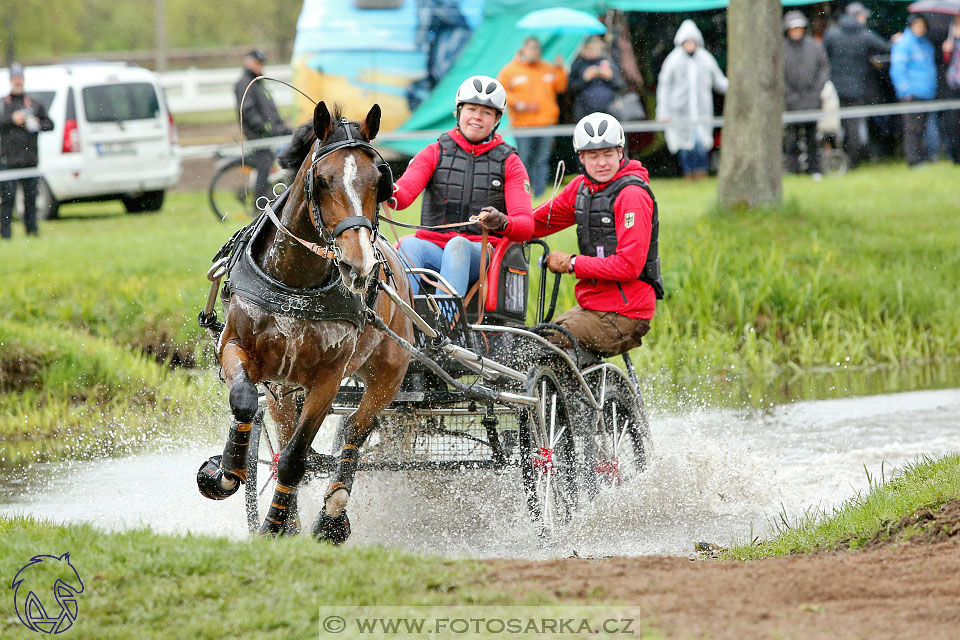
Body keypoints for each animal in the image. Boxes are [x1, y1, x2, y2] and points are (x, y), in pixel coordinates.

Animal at [199, 102, 412, 544]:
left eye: (378, 180)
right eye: (323, 180)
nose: (359, 265)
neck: (295, 283)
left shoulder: (327, 380)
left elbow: (297, 458)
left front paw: (272, 525)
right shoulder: (236, 348)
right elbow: (245, 401)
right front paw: (224, 472)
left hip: (388, 373)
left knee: (355, 430)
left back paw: (331, 514)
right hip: (284, 389)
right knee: (282, 434)